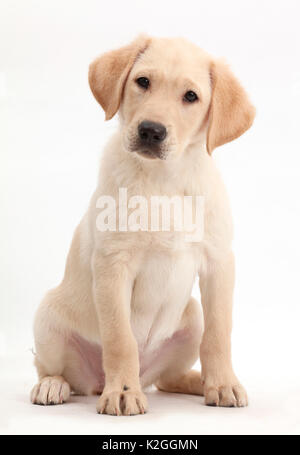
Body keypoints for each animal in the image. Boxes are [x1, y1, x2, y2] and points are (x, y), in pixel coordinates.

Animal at [31, 34, 255, 416]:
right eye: (143, 82)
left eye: (190, 97)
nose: (151, 131)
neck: (164, 180)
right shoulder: (113, 265)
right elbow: (120, 339)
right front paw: (122, 392)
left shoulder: (219, 262)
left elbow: (219, 334)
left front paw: (224, 383)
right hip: (46, 318)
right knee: (55, 371)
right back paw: (54, 386)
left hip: (191, 317)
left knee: (167, 379)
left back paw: (199, 382)